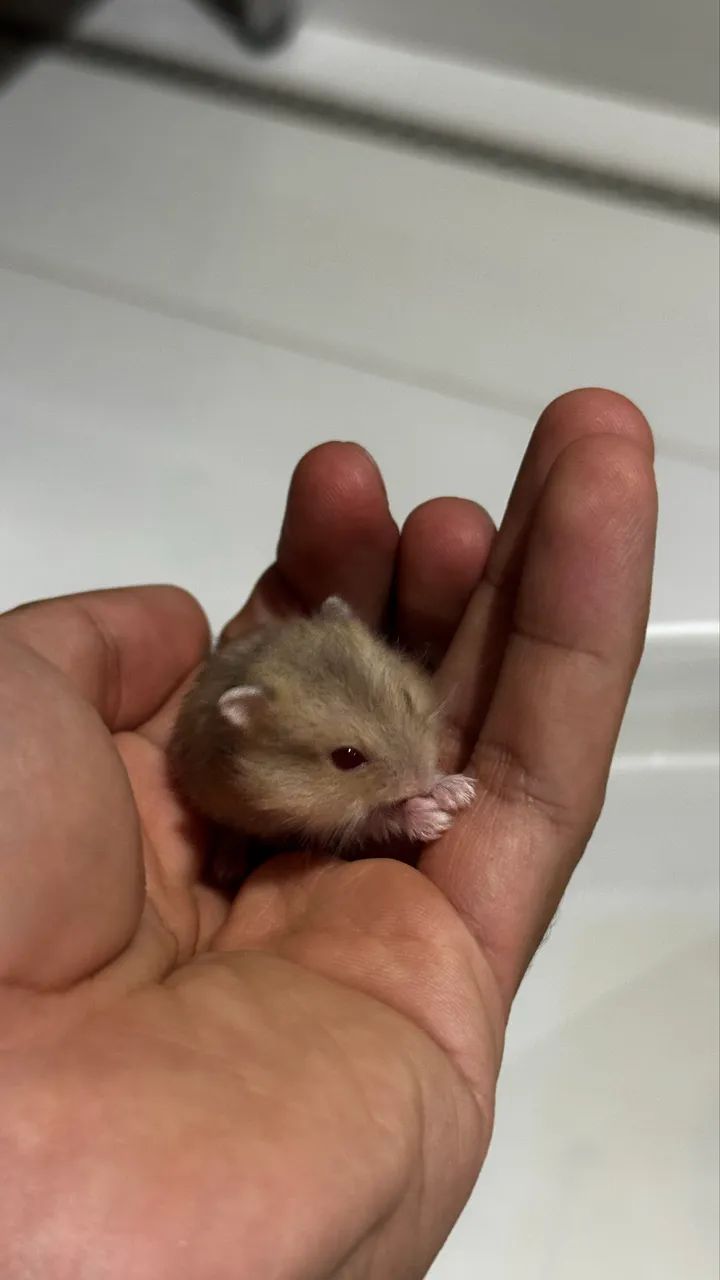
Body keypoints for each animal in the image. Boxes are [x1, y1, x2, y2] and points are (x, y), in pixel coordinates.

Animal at [168, 596, 475, 853]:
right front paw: (436, 819)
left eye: (407, 699)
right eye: (347, 757)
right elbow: (379, 818)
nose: (421, 783)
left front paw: (461, 792)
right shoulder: (325, 819)